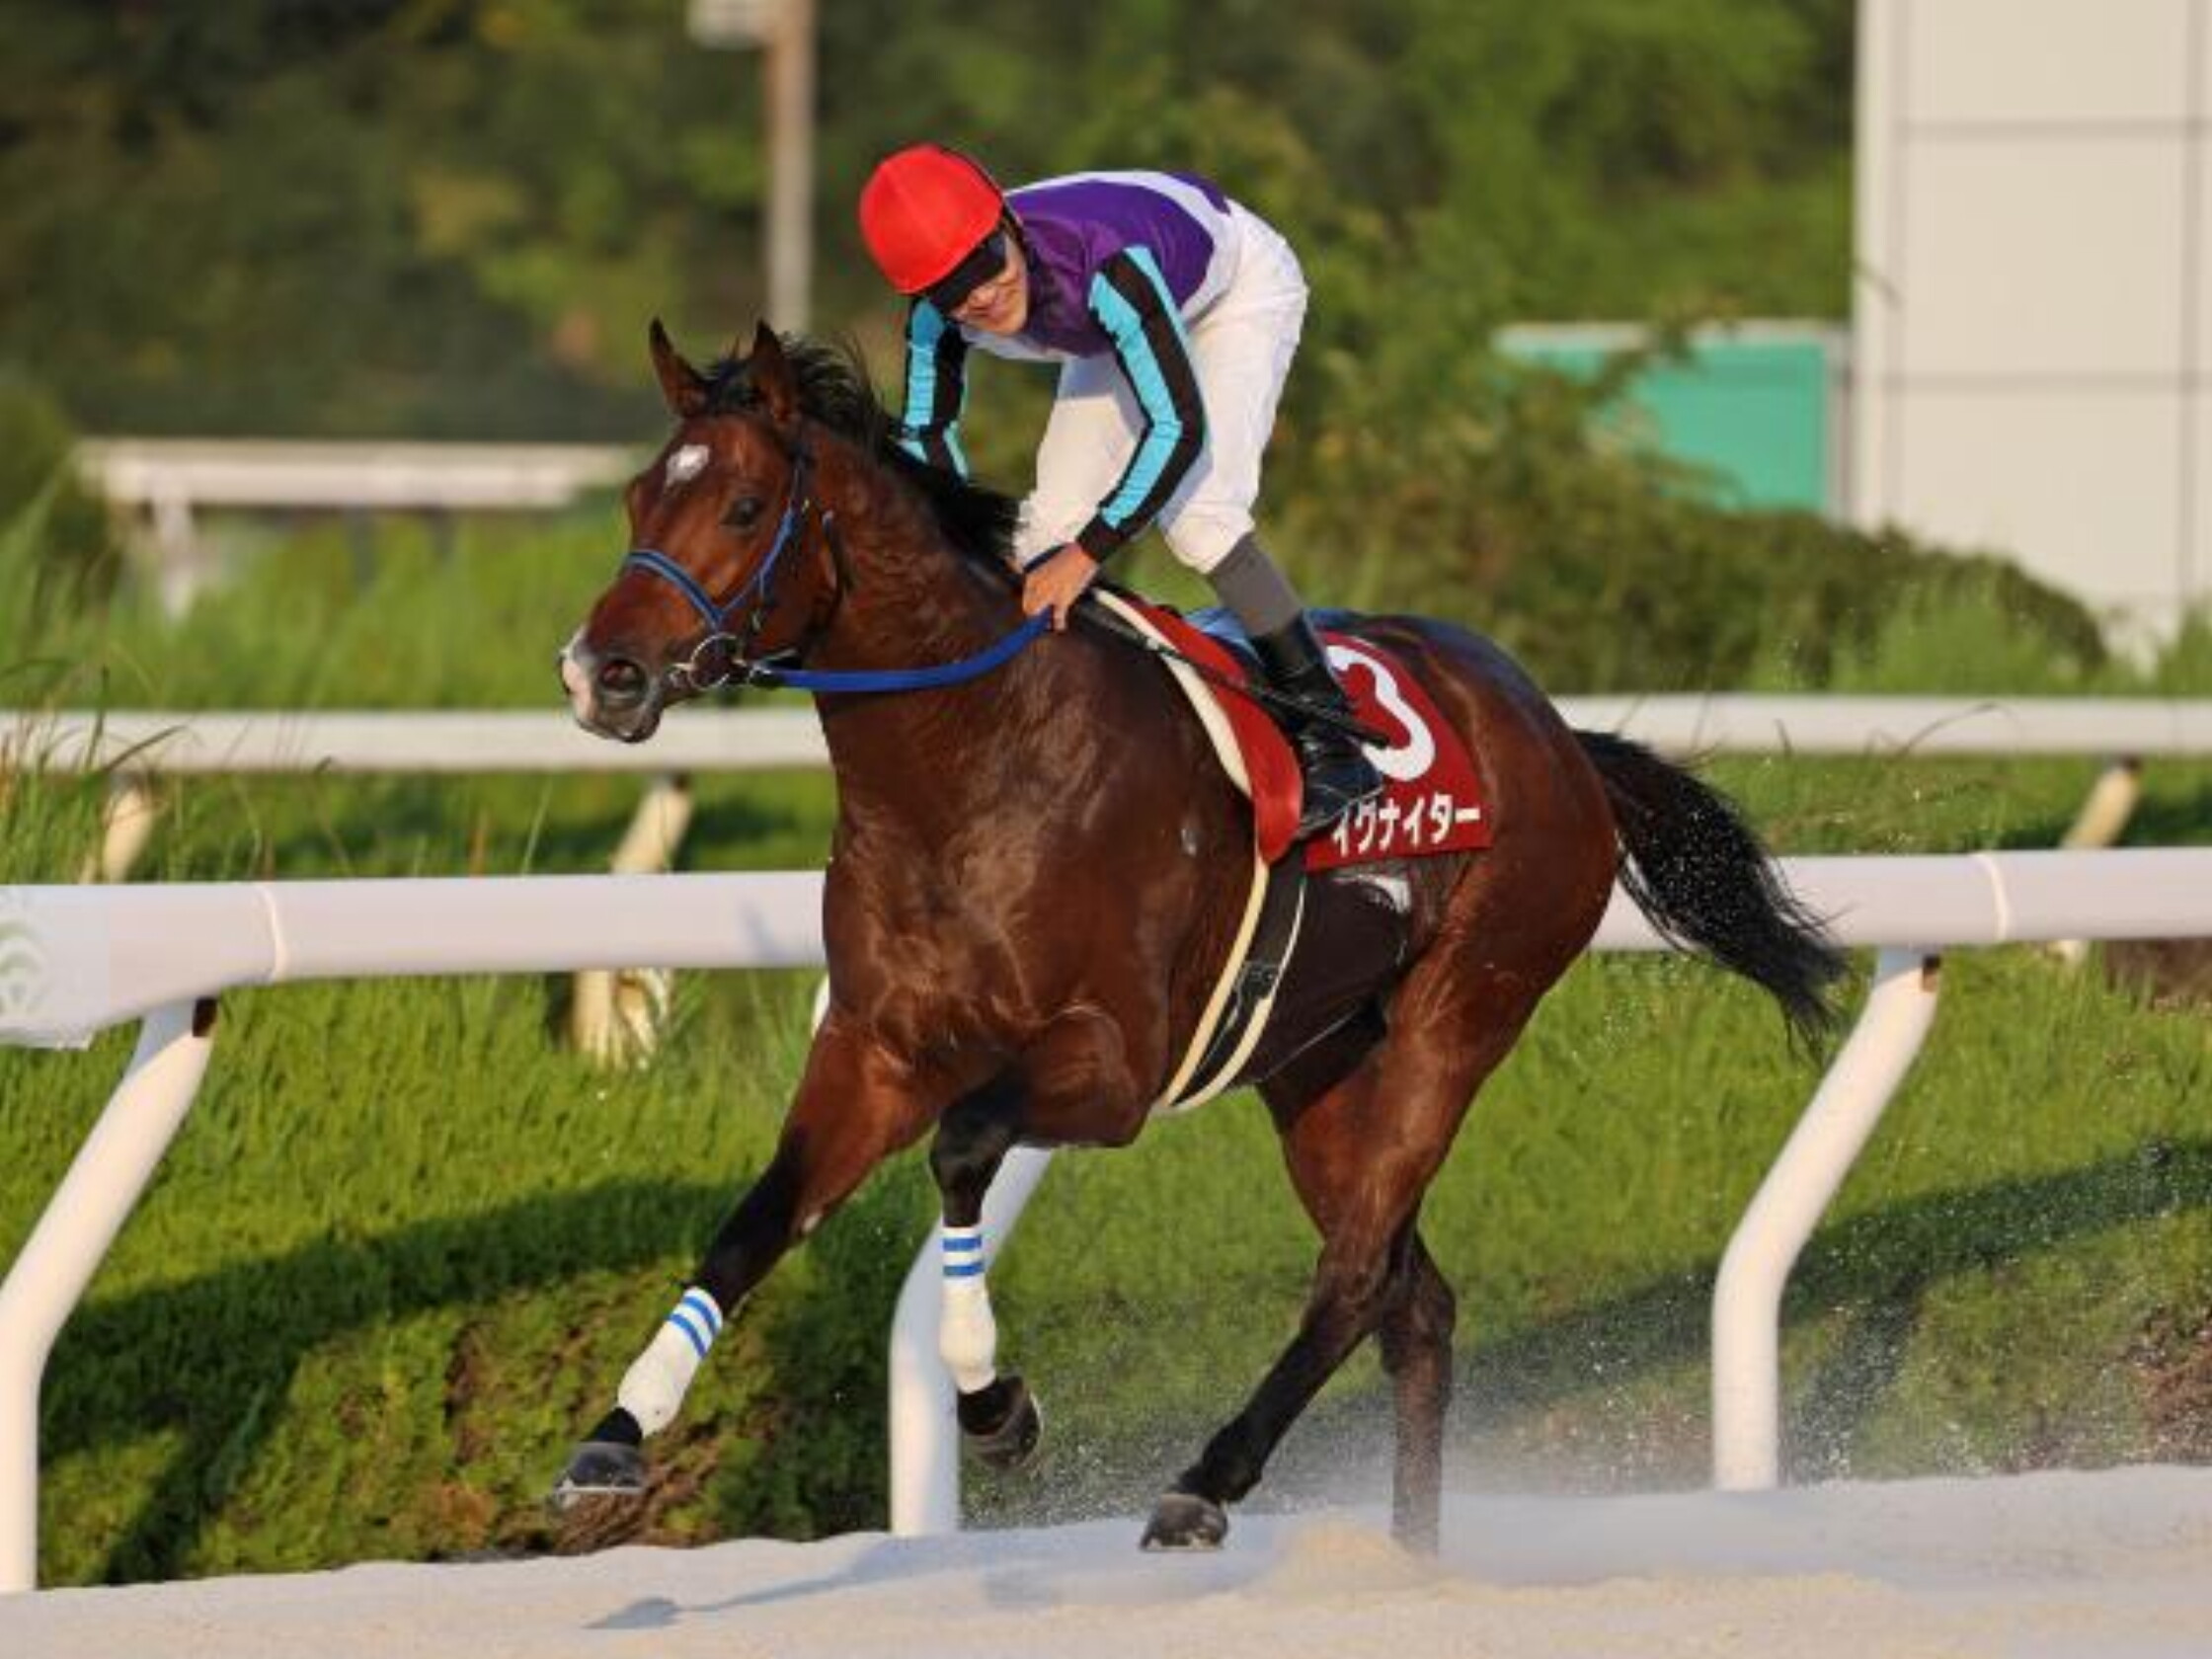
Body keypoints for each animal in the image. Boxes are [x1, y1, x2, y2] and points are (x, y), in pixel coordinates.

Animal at [552, 320, 1843, 1552]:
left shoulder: (1113, 1065)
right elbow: (761, 1213)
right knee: (1412, 1304)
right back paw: (1408, 1558)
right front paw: (615, 1432)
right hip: (1316, 1062)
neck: (973, 761)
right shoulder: (875, 1048)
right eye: (635, 501)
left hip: (1464, 1007)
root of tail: (1560, 734)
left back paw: (1204, 1484)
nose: (597, 675)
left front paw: (995, 1406)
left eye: (740, 506)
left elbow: (962, 1152)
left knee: (1356, 1274)